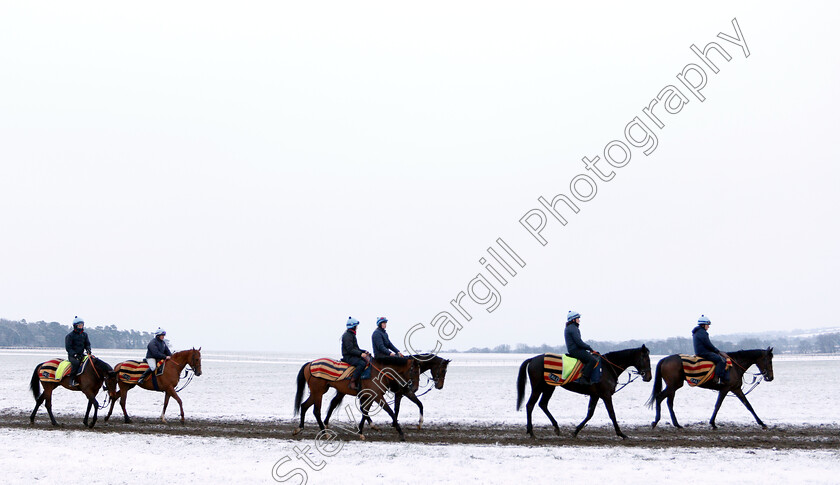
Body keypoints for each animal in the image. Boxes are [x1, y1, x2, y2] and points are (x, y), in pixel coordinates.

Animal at [324, 354, 452, 430]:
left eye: (446, 371)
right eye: (442, 370)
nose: (440, 386)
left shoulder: (404, 393)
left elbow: (417, 404)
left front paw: (418, 423)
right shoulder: (402, 393)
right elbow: (397, 408)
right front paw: (396, 423)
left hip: (344, 392)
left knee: (336, 403)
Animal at [516, 344, 652, 438]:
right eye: (646, 358)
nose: (649, 377)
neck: (606, 368)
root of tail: (533, 359)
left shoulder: (595, 395)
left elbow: (589, 414)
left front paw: (575, 431)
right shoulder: (606, 395)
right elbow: (612, 414)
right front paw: (621, 434)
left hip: (549, 387)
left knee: (543, 404)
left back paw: (556, 427)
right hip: (539, 388)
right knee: (530, 405)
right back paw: (531, 432)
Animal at [648, 346, 776, 430]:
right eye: (769, 360)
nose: (771, 377)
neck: (734, 366)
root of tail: (664, 359)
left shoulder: (736, 389)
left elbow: (748, 405)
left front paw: (761, 423)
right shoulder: (725, 389)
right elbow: (718, 405)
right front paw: (713, 423)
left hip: (673, 386)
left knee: (668, 402)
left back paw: (676, 424)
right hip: (673, 386)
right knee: (660, 398)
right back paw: (656, 421)